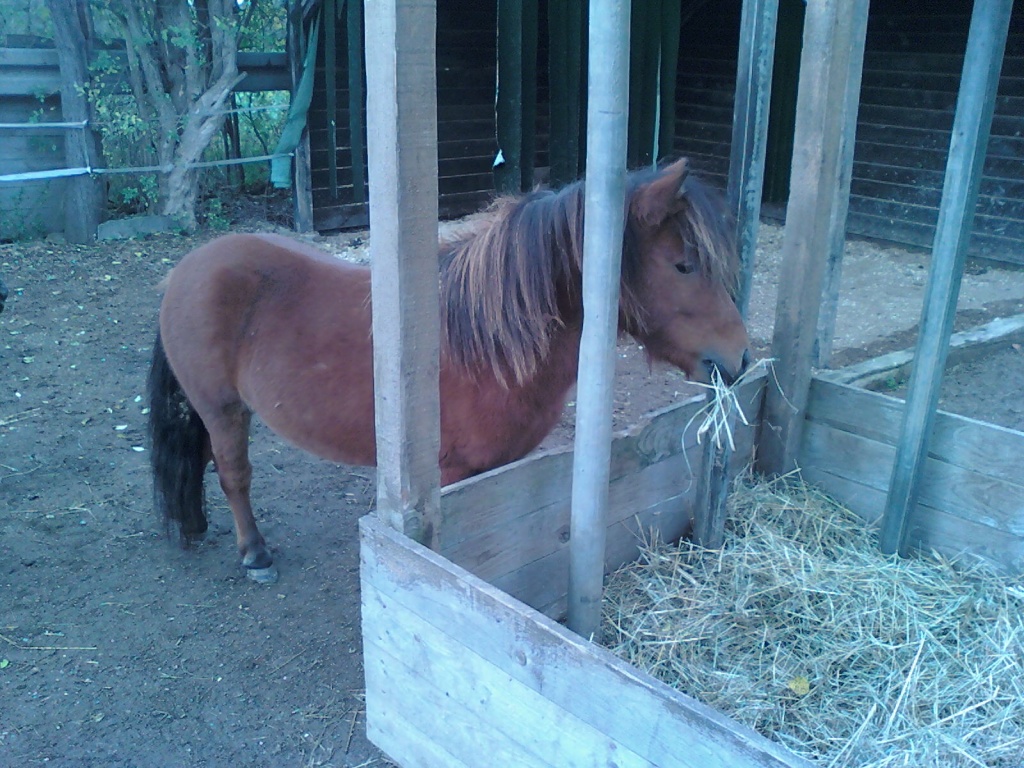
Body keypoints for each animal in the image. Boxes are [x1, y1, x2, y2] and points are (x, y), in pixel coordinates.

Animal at [148, 158, 750, 583]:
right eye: (683, 265)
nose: (740, 358)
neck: (489, 343)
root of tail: (186, 269)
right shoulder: (452, 475)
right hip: (222, 409)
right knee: (234, 474)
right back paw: (255, 555)